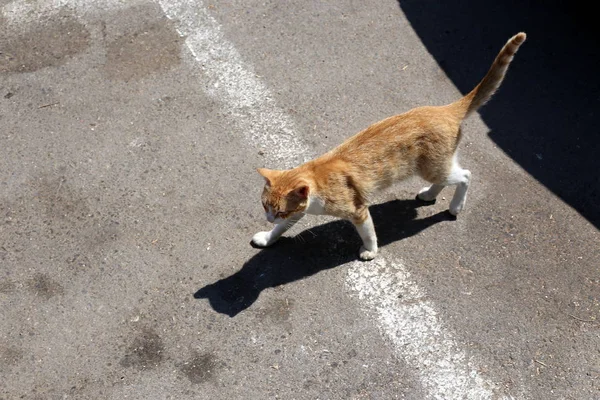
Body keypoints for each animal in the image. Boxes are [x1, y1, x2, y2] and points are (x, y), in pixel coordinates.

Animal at [252, 32, 524, 260]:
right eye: (266, 207)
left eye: (279, 211)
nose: (267, 219)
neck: (317, 180)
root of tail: (443, 109)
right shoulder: (301, 210)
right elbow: (282, 229)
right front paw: (268, 237)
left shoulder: (358, 210)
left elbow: (368, 233)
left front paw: (370, 251)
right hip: (436, 167)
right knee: (448, 178)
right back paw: (429, 194)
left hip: (433, 168)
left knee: (465, 175)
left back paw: (456, 206)